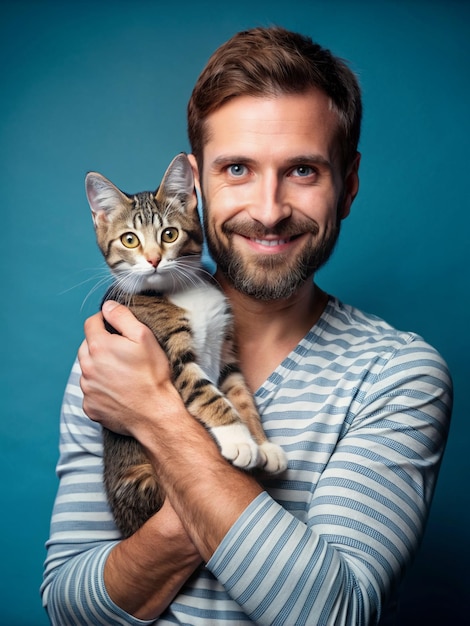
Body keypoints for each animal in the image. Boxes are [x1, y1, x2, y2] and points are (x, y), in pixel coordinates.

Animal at [86, 152, 288, 536]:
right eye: (130, 240)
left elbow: (240, 394)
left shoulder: (226, 353)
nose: (153, 260)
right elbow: (208, 392)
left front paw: (261, 442)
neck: (180, 288)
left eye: (170, 234)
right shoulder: (172, 353)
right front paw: (239, 439)